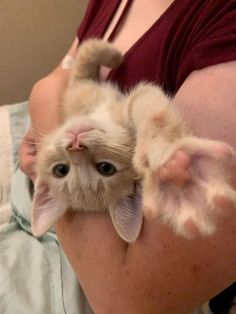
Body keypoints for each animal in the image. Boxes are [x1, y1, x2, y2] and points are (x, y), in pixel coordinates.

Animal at [31, 38, 236, 242]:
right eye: (106, 168)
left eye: (60, 170)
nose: (74, 145)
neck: (99, 113)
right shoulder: (87, 86)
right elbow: (87, 53)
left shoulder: (81, 93)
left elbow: (85, 55)